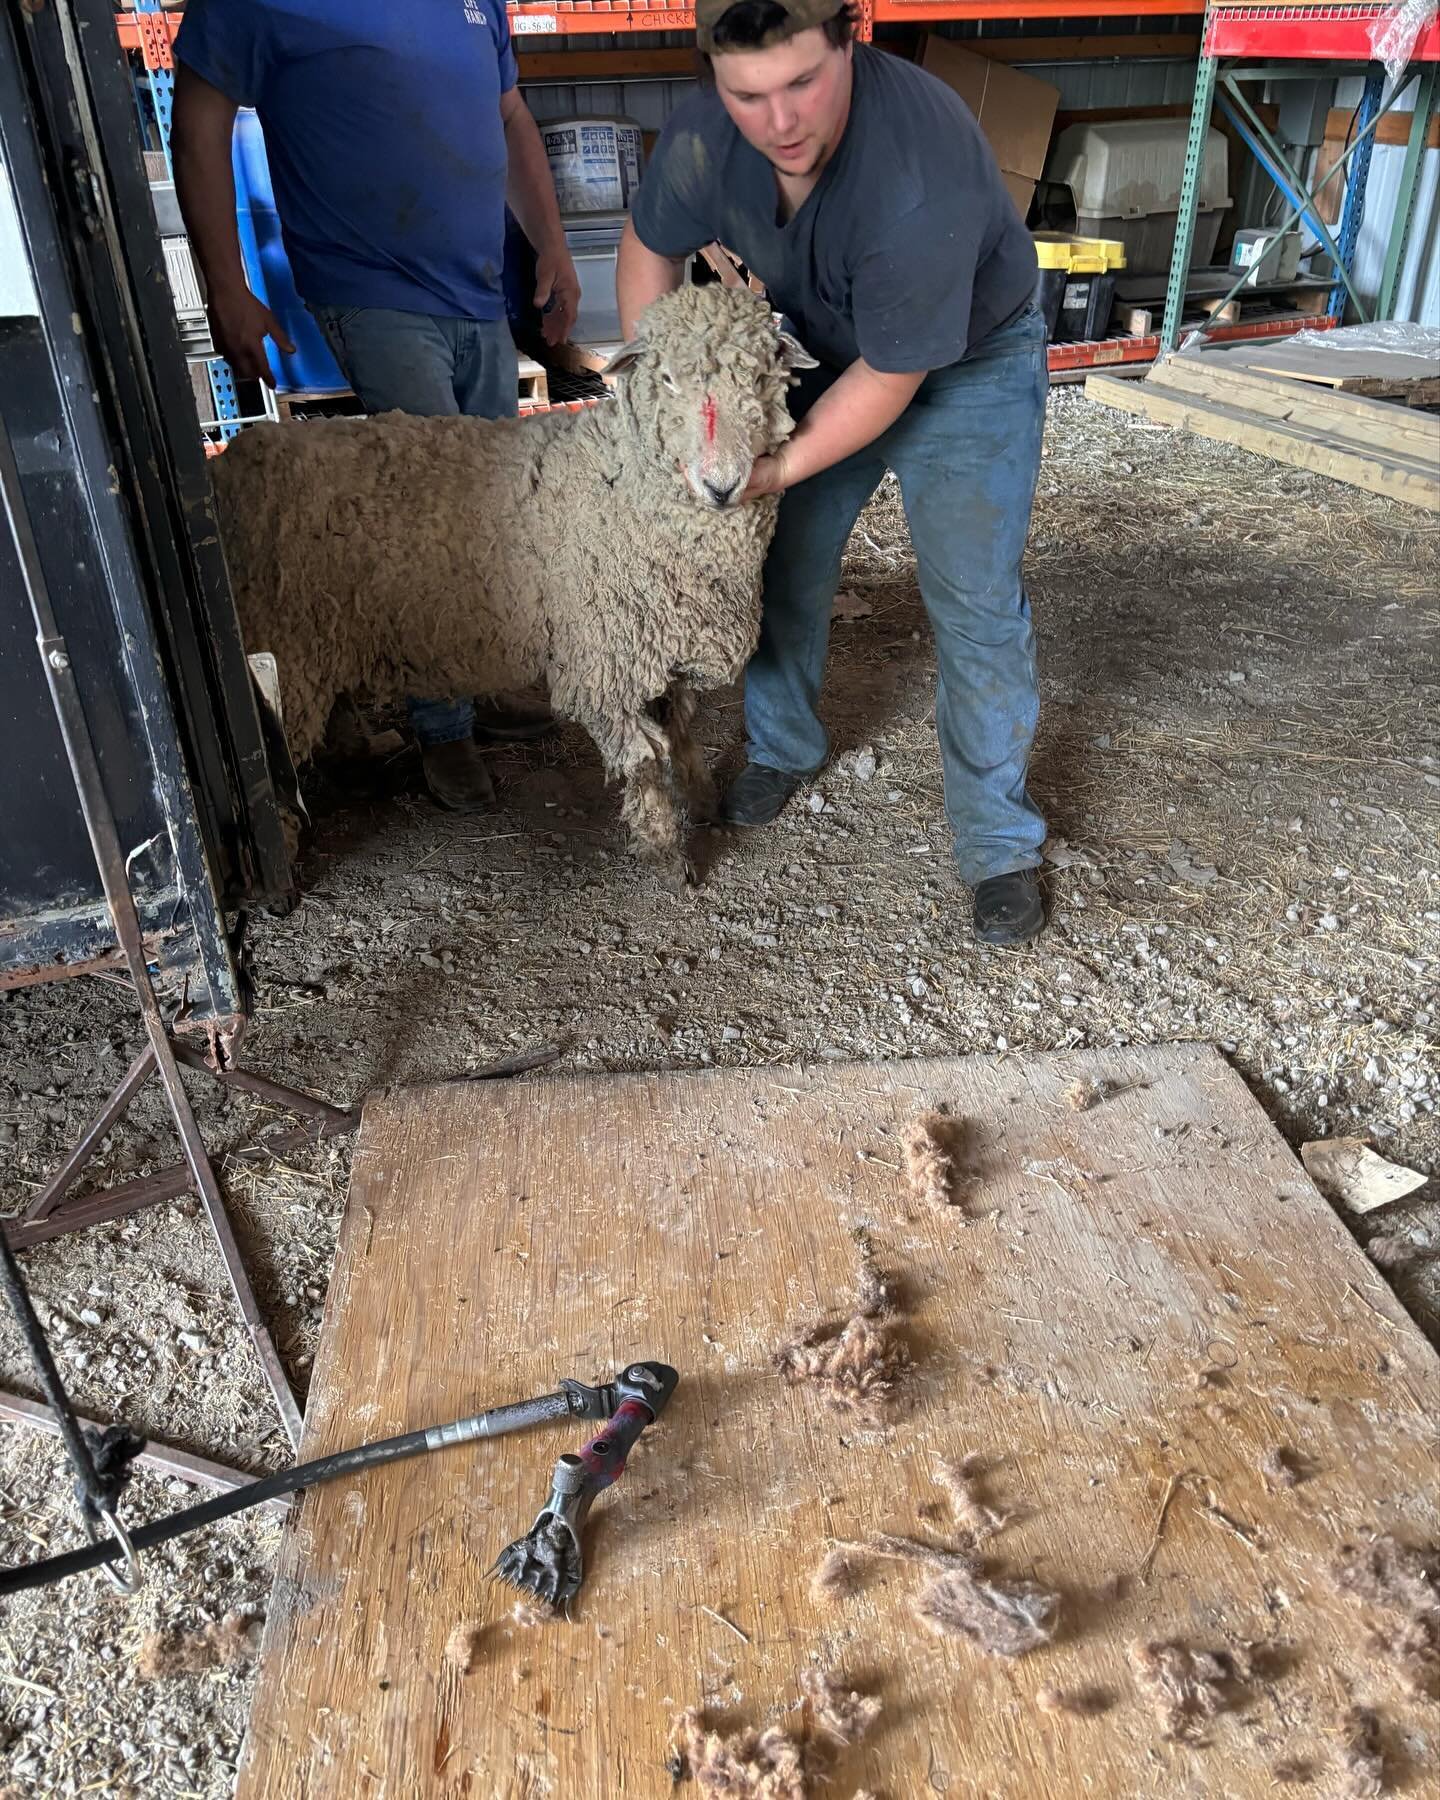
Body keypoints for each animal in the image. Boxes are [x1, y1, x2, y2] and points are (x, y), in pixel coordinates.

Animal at [214, 279, 820, 885]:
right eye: (667, 378)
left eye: (761, 377)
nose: (722, 486)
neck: (624, 481)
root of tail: (234, 461)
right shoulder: (603, 665)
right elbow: (645, 763)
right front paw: (667, 855)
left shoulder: (662, 649)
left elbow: (686, 736)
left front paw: (704, 806)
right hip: (289, 648)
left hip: (326, 629)